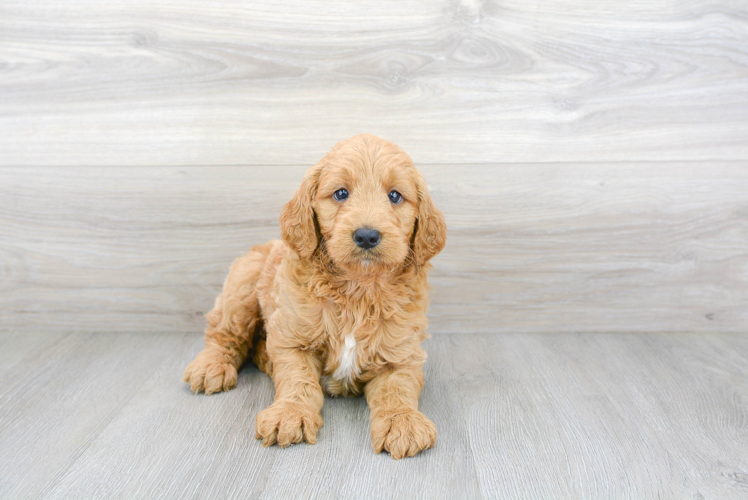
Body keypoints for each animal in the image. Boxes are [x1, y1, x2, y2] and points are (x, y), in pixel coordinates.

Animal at [184, 134, 448, 460]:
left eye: (395, 196)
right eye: (341, 193)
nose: (366, 235)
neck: (358, 290)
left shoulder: (401, 355)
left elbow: (398, 389)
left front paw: (403, 422)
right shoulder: (292, 338)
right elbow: (298, 379)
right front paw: (290, 413)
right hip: (241, 288)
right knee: (224, 334)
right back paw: (211, 367)